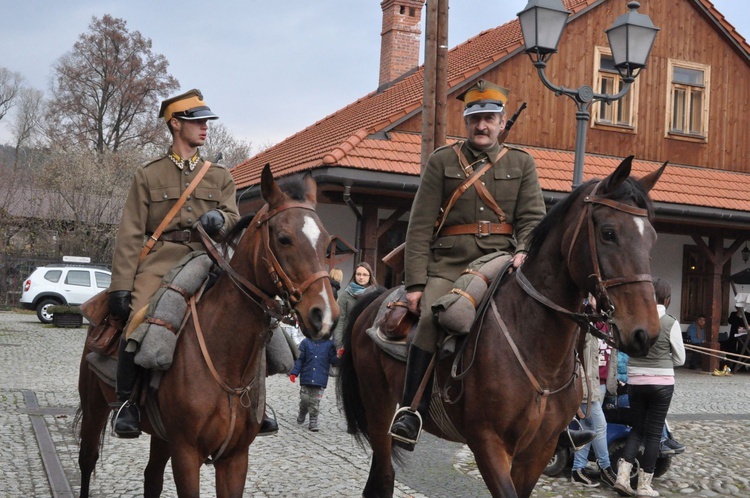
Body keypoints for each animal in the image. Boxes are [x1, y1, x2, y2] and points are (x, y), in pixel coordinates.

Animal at [75, 165, 338, 496]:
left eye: (327, 244)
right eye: (283, 238)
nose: (324, 316)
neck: (226, 357)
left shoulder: (235, 458)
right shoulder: (187, 455)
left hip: (161, 437)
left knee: (152, 477)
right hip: (94, 407)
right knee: (87, 461)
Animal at [340, 157, 668, 498]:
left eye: (652, 238)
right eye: (608, 233)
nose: (645, 332)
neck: (537, 347)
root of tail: (376, 299)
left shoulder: (540, 449)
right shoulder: (488, 443)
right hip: (379, 412)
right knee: (383, 475)